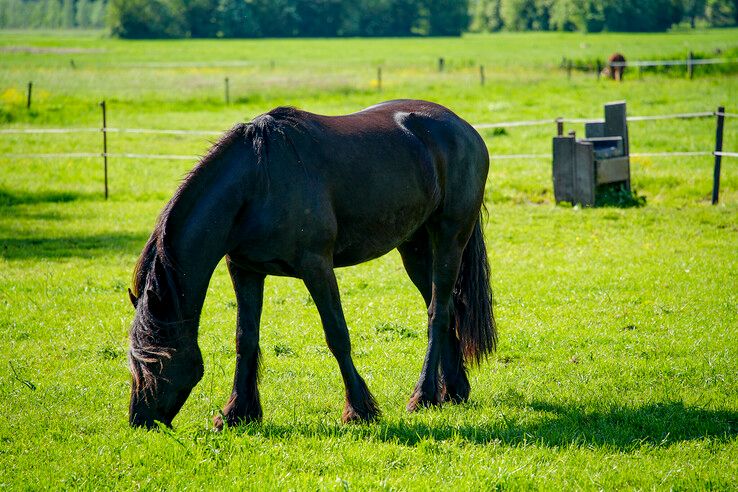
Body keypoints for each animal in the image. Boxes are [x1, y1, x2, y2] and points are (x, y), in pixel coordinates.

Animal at [126, 99, 494, 426]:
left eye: (156, 361)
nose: (139, 420)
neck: (258, 180)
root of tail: (462, 127)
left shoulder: (316, 266)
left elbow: (337, 334)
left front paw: (359, 410)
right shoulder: (245, 270)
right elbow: (246, 338)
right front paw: (237, 413)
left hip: (449, 238)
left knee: (438, 312)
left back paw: (424, 396)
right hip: (414, 248)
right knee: (444, 308)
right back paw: (453, 390)